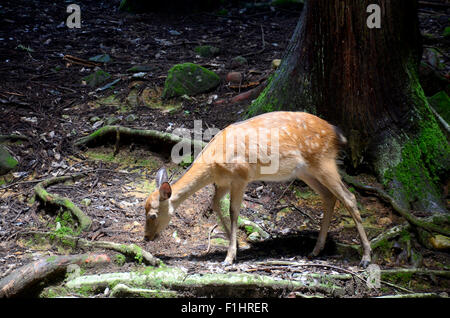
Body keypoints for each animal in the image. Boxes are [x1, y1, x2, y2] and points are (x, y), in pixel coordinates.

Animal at [145, 110, 372, 268]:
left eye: (153, 215)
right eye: (143, 210)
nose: (146, 237)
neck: (213, 164)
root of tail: (337, 134)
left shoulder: (241, 176)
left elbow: (233, 211)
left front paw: (229, 257)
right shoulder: (223, 182)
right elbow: (215, 204)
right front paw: (236, 246)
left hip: (323, 161)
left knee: (349, 197)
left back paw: (366, 257)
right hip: (306, 171)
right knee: (329, 197)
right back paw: (315, 250)